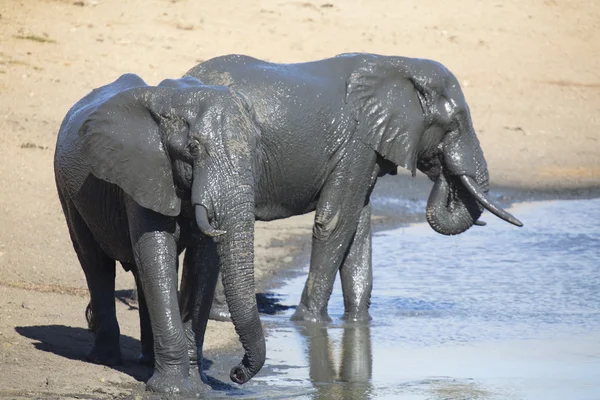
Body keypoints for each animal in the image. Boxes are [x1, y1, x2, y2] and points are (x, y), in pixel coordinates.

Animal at [53, 73, 264, 392]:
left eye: (255, 149)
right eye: (193, 149)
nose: (236, 373)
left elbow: (202, 263)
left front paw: (197, 386)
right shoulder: (142, 172)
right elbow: (156, 251)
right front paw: (173, 390)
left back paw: (147, 360)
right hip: (68, 190)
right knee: (95, 262)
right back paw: (105, 359)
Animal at [185, 51, 524, 324]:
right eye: (454, 123)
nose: (444, 168)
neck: (396, 65)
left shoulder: (366, 149)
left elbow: (359, 225)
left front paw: (359, 322)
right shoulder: (356, 144)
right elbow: (336, 221)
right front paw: (311, 322)